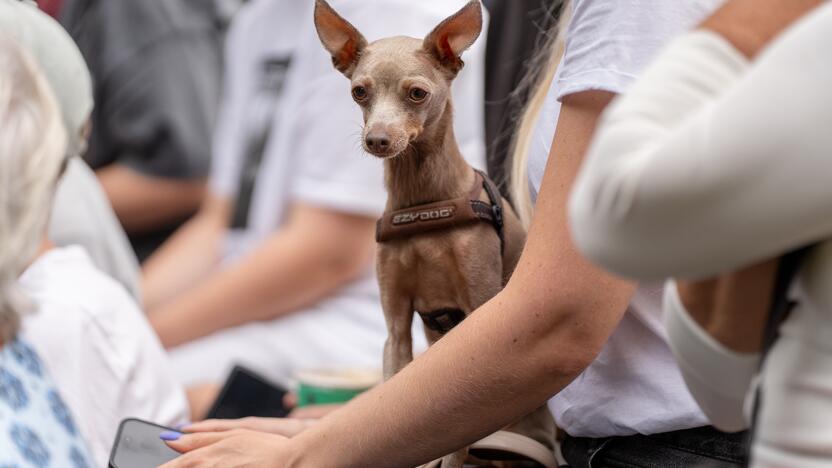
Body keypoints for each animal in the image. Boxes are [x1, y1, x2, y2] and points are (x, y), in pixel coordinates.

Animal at [316, 1, 556, 466]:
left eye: (417, 94)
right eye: (359, 92)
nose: (377, 139)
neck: (422, 204)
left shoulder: (479, 311)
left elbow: (459, 435)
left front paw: (450, 459)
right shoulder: (396, 325)